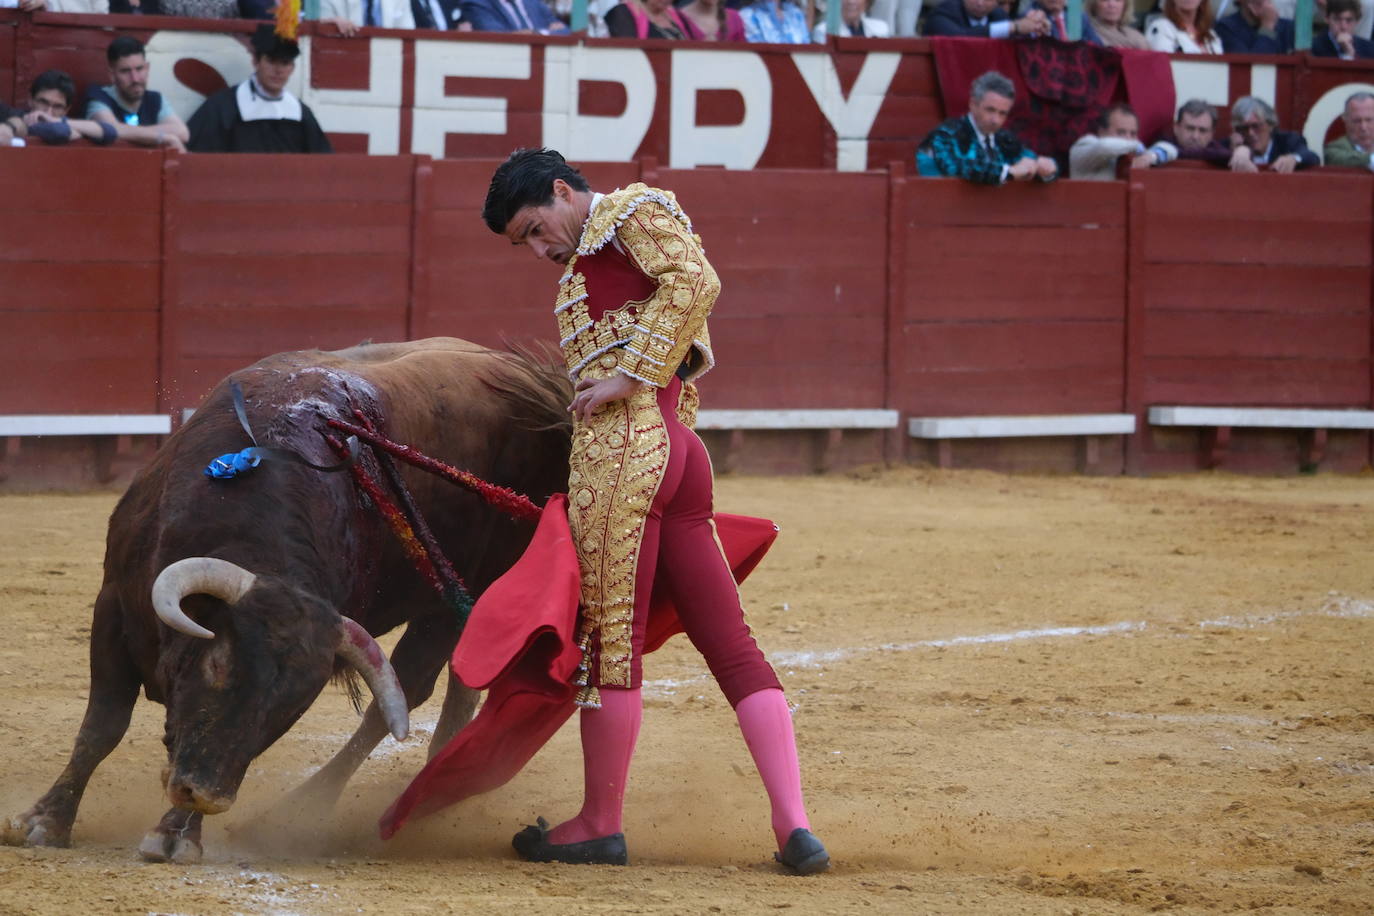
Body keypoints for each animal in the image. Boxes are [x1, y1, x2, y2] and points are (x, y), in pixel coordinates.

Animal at [0, 339, 568, 867]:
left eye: (293, 704)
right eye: (218, 665)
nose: (205, 794)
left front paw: (176, 834)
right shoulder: (113, 606)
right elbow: (102, 726)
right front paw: (43, 823)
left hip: (449, 601)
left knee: (400, 696)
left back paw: (300, 810)